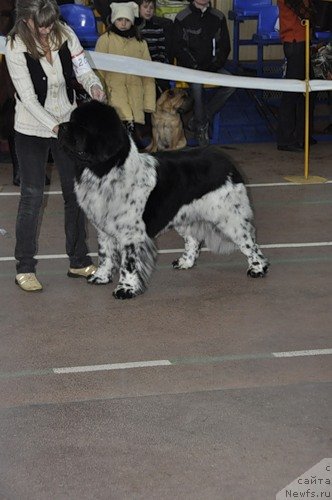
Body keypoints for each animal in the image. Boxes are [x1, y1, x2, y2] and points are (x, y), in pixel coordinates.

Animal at [58, 99, 268, 298]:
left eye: (84, 125)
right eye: (73, 119)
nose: (61, 127)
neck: (104, 172)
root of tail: (226, 161)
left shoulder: (131, 234)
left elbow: (128, 264)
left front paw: (125, 289)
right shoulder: (104, 229)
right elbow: (105, 255)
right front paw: (101, 277)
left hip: (230, 218)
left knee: (250, 243)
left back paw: (258, 268)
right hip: (185, 216)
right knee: (193, 240)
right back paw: (185, 262)